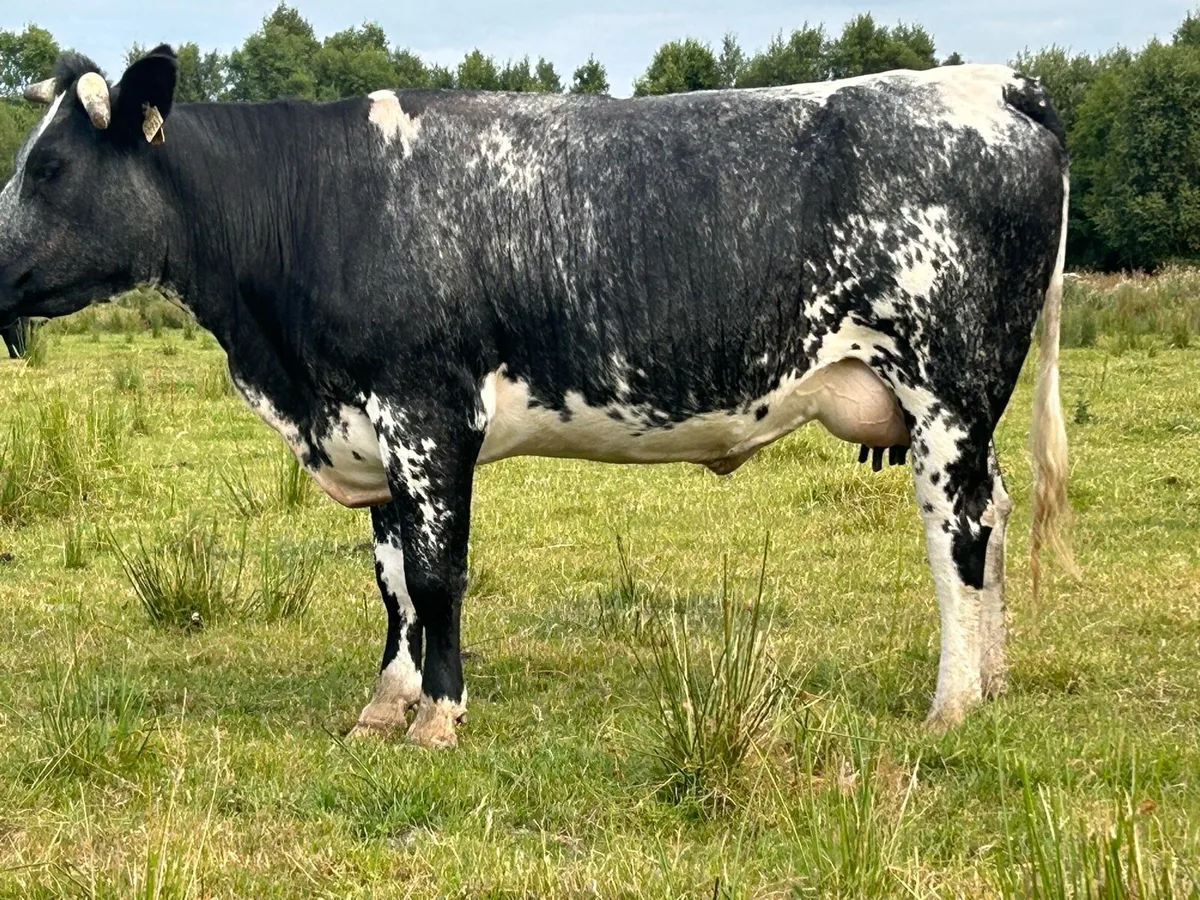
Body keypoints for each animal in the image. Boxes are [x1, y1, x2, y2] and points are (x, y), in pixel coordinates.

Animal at [0, 45, 1075, 749]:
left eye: (47, 166)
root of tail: (993, 80)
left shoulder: (429, 415)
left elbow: (437, 575)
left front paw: (439, 717)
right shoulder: (372, 429)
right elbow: (392, 579)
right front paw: (385, 705)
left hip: (950, 394)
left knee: (958, 534)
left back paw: (953, 704)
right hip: (962, 412)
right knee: (994, 515)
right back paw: (996, 681)